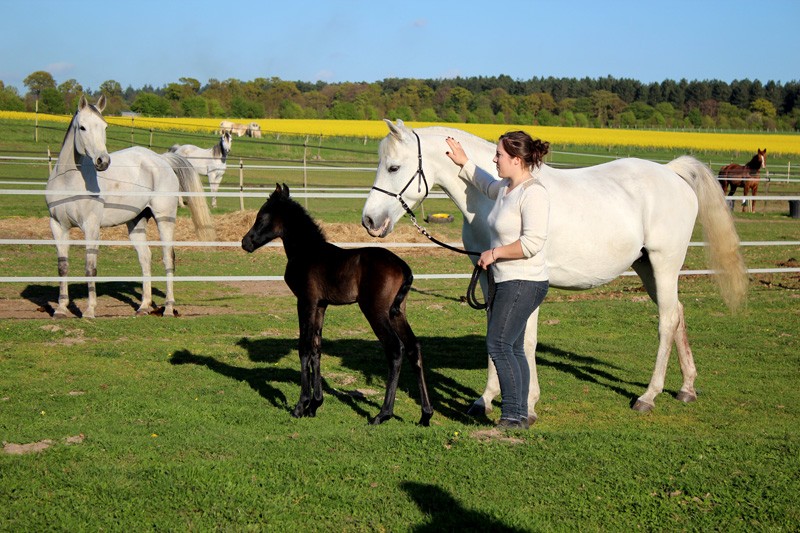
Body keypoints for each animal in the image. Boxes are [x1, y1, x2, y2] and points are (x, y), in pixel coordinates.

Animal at [45, 95, 216, 318]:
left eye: (105, 126)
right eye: (82, 127)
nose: (102, 161)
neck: (69, 181)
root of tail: (161, 159)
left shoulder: (91, 227)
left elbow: (90, 268)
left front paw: (89, 311)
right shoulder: (58, 226)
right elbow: (62, 267)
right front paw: (61, 309)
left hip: (164, 219)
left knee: (168, 258)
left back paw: (169, 308)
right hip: (137, 222)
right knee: (145, 257)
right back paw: (143, 306)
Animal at [242, 185, 434, 426]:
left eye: (261, 217)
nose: (245, 243)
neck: (306, 251)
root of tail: (403, 266)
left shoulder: (305, 301)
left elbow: (304, 348)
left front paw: (300, 406)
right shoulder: (320, 305)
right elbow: (316, 348)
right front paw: (315, 404)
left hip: (376, 312)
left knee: (395, 349)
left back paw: (383, 414)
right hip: (397, 313)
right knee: (413, 348)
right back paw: (425, 415)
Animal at [362, 118, 752, 422]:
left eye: (394, 168)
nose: (370, 221)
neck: (490, 200)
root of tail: (671, 173)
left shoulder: (524, 279)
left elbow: (525, 340)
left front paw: (529, 405)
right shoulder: (488, 278)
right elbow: (495, 333)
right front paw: (484, 399)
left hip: (664, 264)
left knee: (667, 321)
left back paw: (648, 396)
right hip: (647, 268)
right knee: (679, 314)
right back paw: (687, 388)